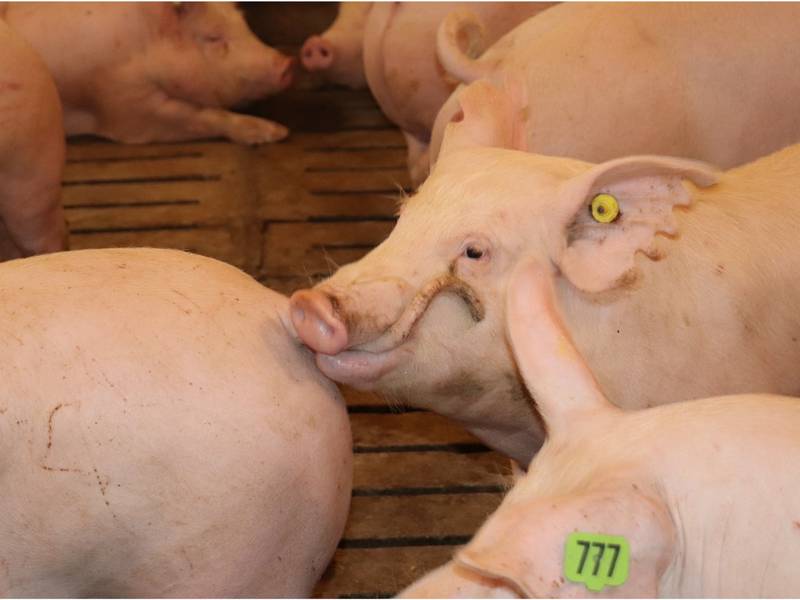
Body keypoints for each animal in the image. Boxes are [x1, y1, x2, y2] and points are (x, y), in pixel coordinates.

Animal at [3, 2, 294, 145]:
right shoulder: (125, 105)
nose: (287, 63)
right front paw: (278, 132)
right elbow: (203, 115)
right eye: (212, 37)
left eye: (244, 22)